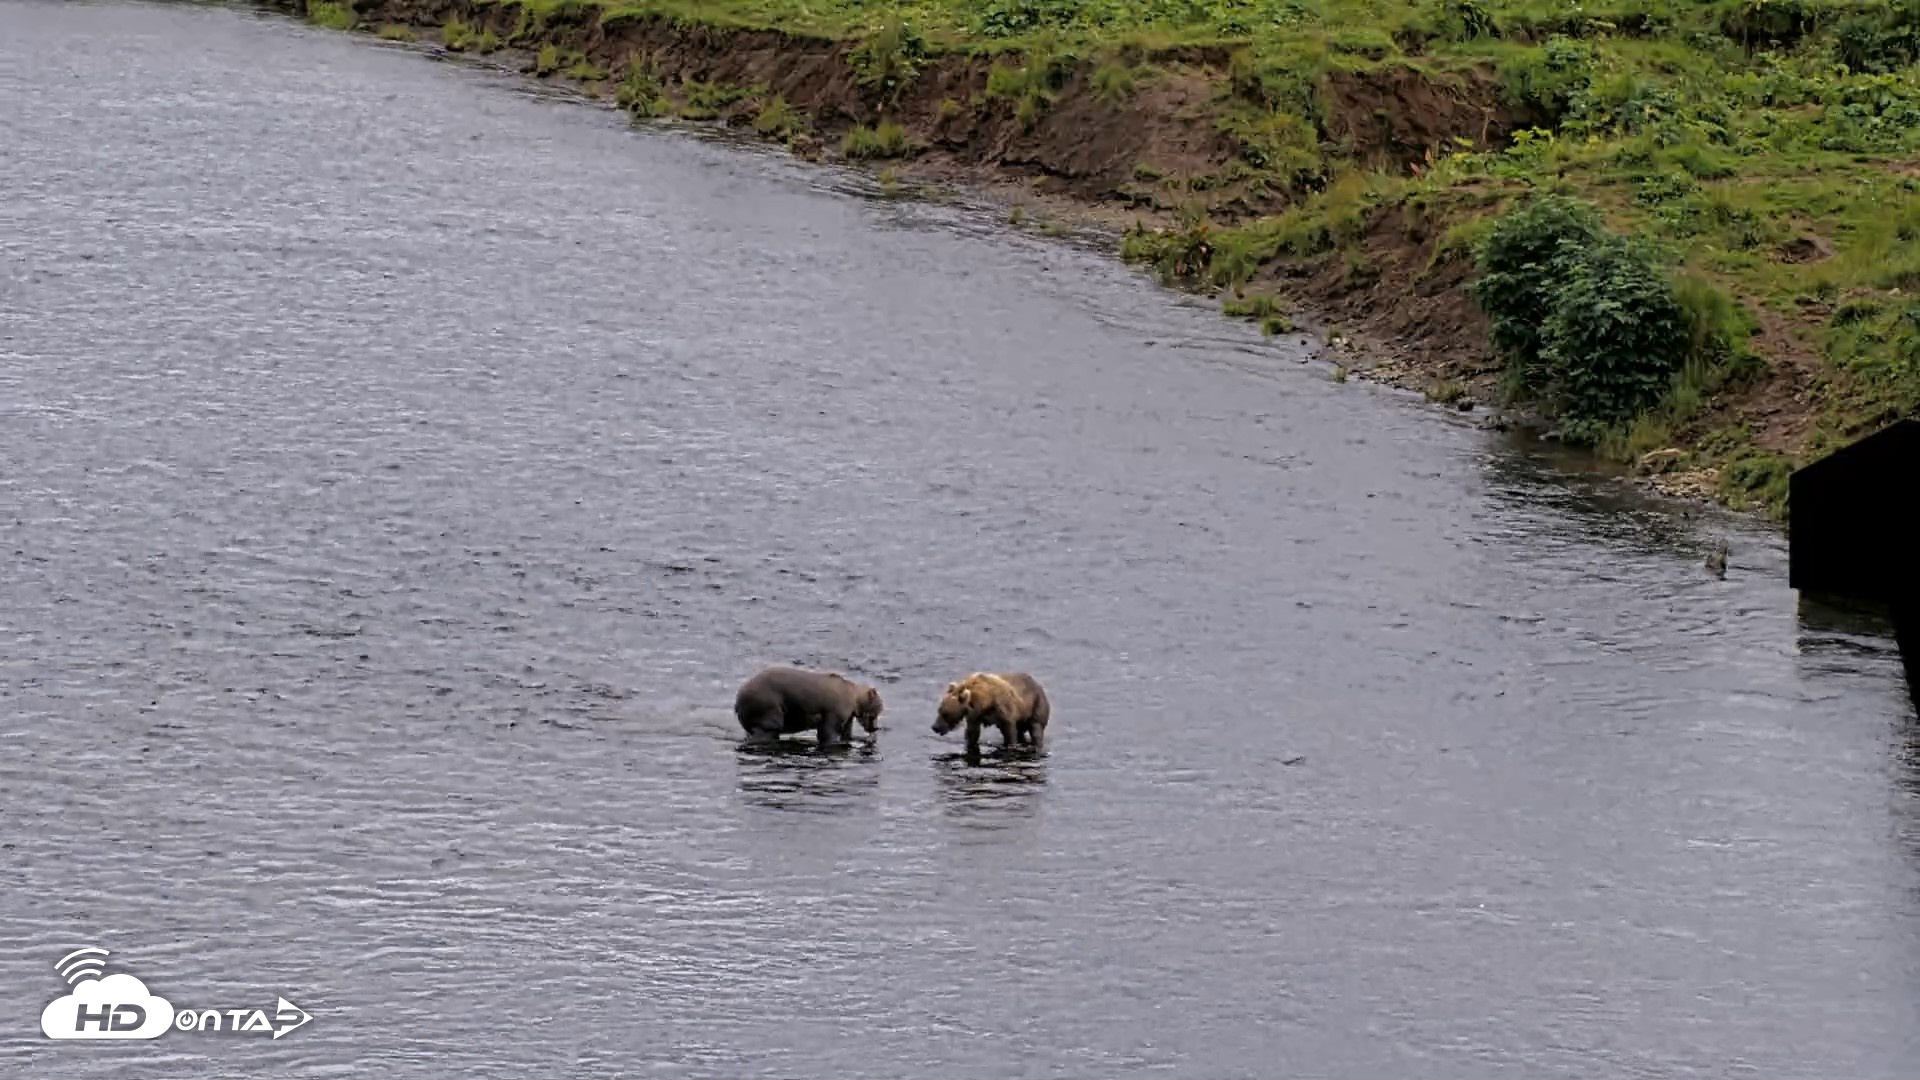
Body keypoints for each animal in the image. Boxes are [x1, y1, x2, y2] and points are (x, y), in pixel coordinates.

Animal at [734, 666, 883, 749]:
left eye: (878, 712)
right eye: (875, 714)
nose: (874, 728)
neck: (853, 698)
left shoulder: (848, 715)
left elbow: (846, 732)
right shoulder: (835, 707)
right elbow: (829, 730)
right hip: (768, 702)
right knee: (769, 726)